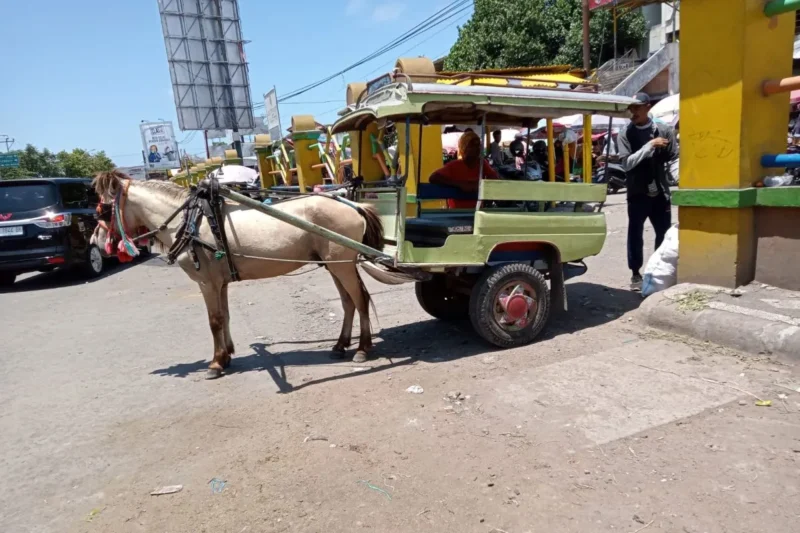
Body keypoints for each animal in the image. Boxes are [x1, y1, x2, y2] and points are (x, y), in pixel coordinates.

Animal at [92, 171, 382, 378]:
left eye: (102, 209)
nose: (98, 239)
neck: (191, 222)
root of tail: (354, 206)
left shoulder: (206, 282)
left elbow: (214, 321)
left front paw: (215, 363)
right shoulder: (220, 282)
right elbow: (225, 316)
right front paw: (227, 354)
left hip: (342, 265)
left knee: (360, 299)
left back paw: (362, 348)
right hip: (334, 265)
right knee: (348, 302)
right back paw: (340, 345)